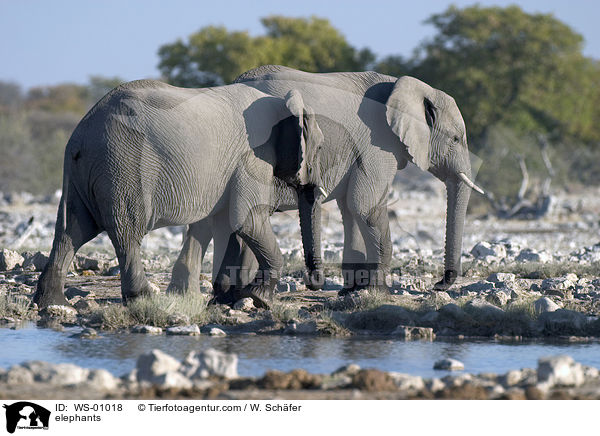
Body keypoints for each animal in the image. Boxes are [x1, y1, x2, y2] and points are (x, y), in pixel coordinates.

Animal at [32, 79, 326, 310]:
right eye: (321, 147)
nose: (314, 284)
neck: (283, 100)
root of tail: (80, 135)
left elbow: (230, 224)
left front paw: (228, 299)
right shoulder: (254, 156)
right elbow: (247, 221)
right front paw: (259, 299)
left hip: (83, 171)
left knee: (72, 231)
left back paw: (52, 303)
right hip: (123, 166)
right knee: (126, 232)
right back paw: (144, 298)